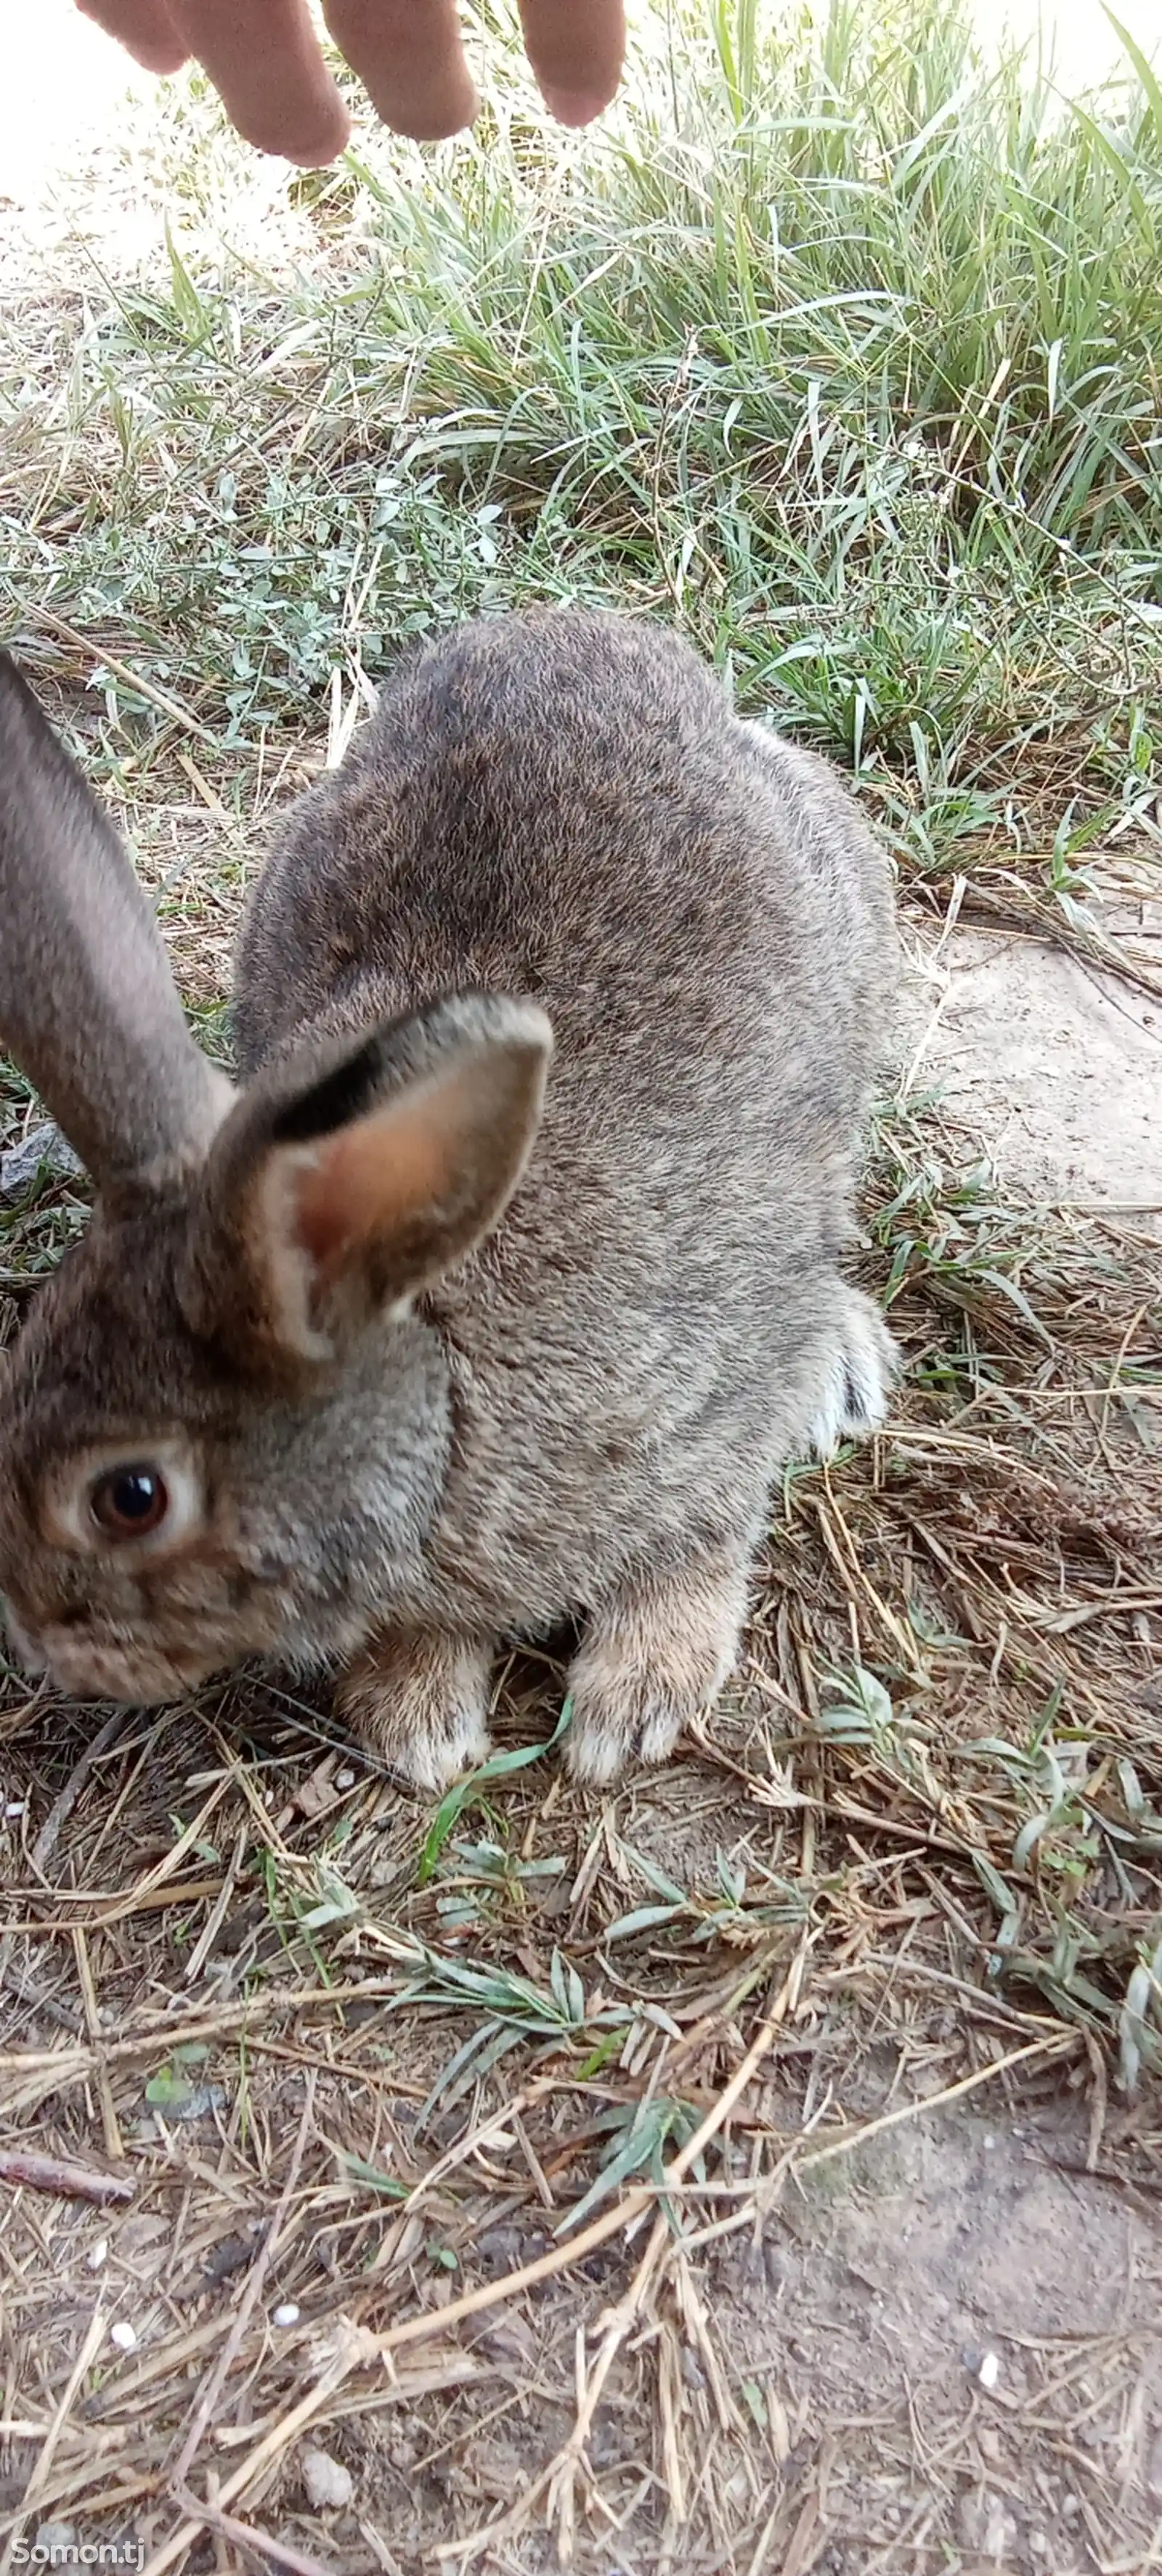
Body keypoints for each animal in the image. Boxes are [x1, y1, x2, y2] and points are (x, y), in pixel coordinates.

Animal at [0, 615, 901, 1793]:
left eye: (130, 1499)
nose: (31, 1639)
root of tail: (582, 630)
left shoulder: (714, 1397)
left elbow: (698, 1539)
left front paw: (636, 1698)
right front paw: (417, 1711)